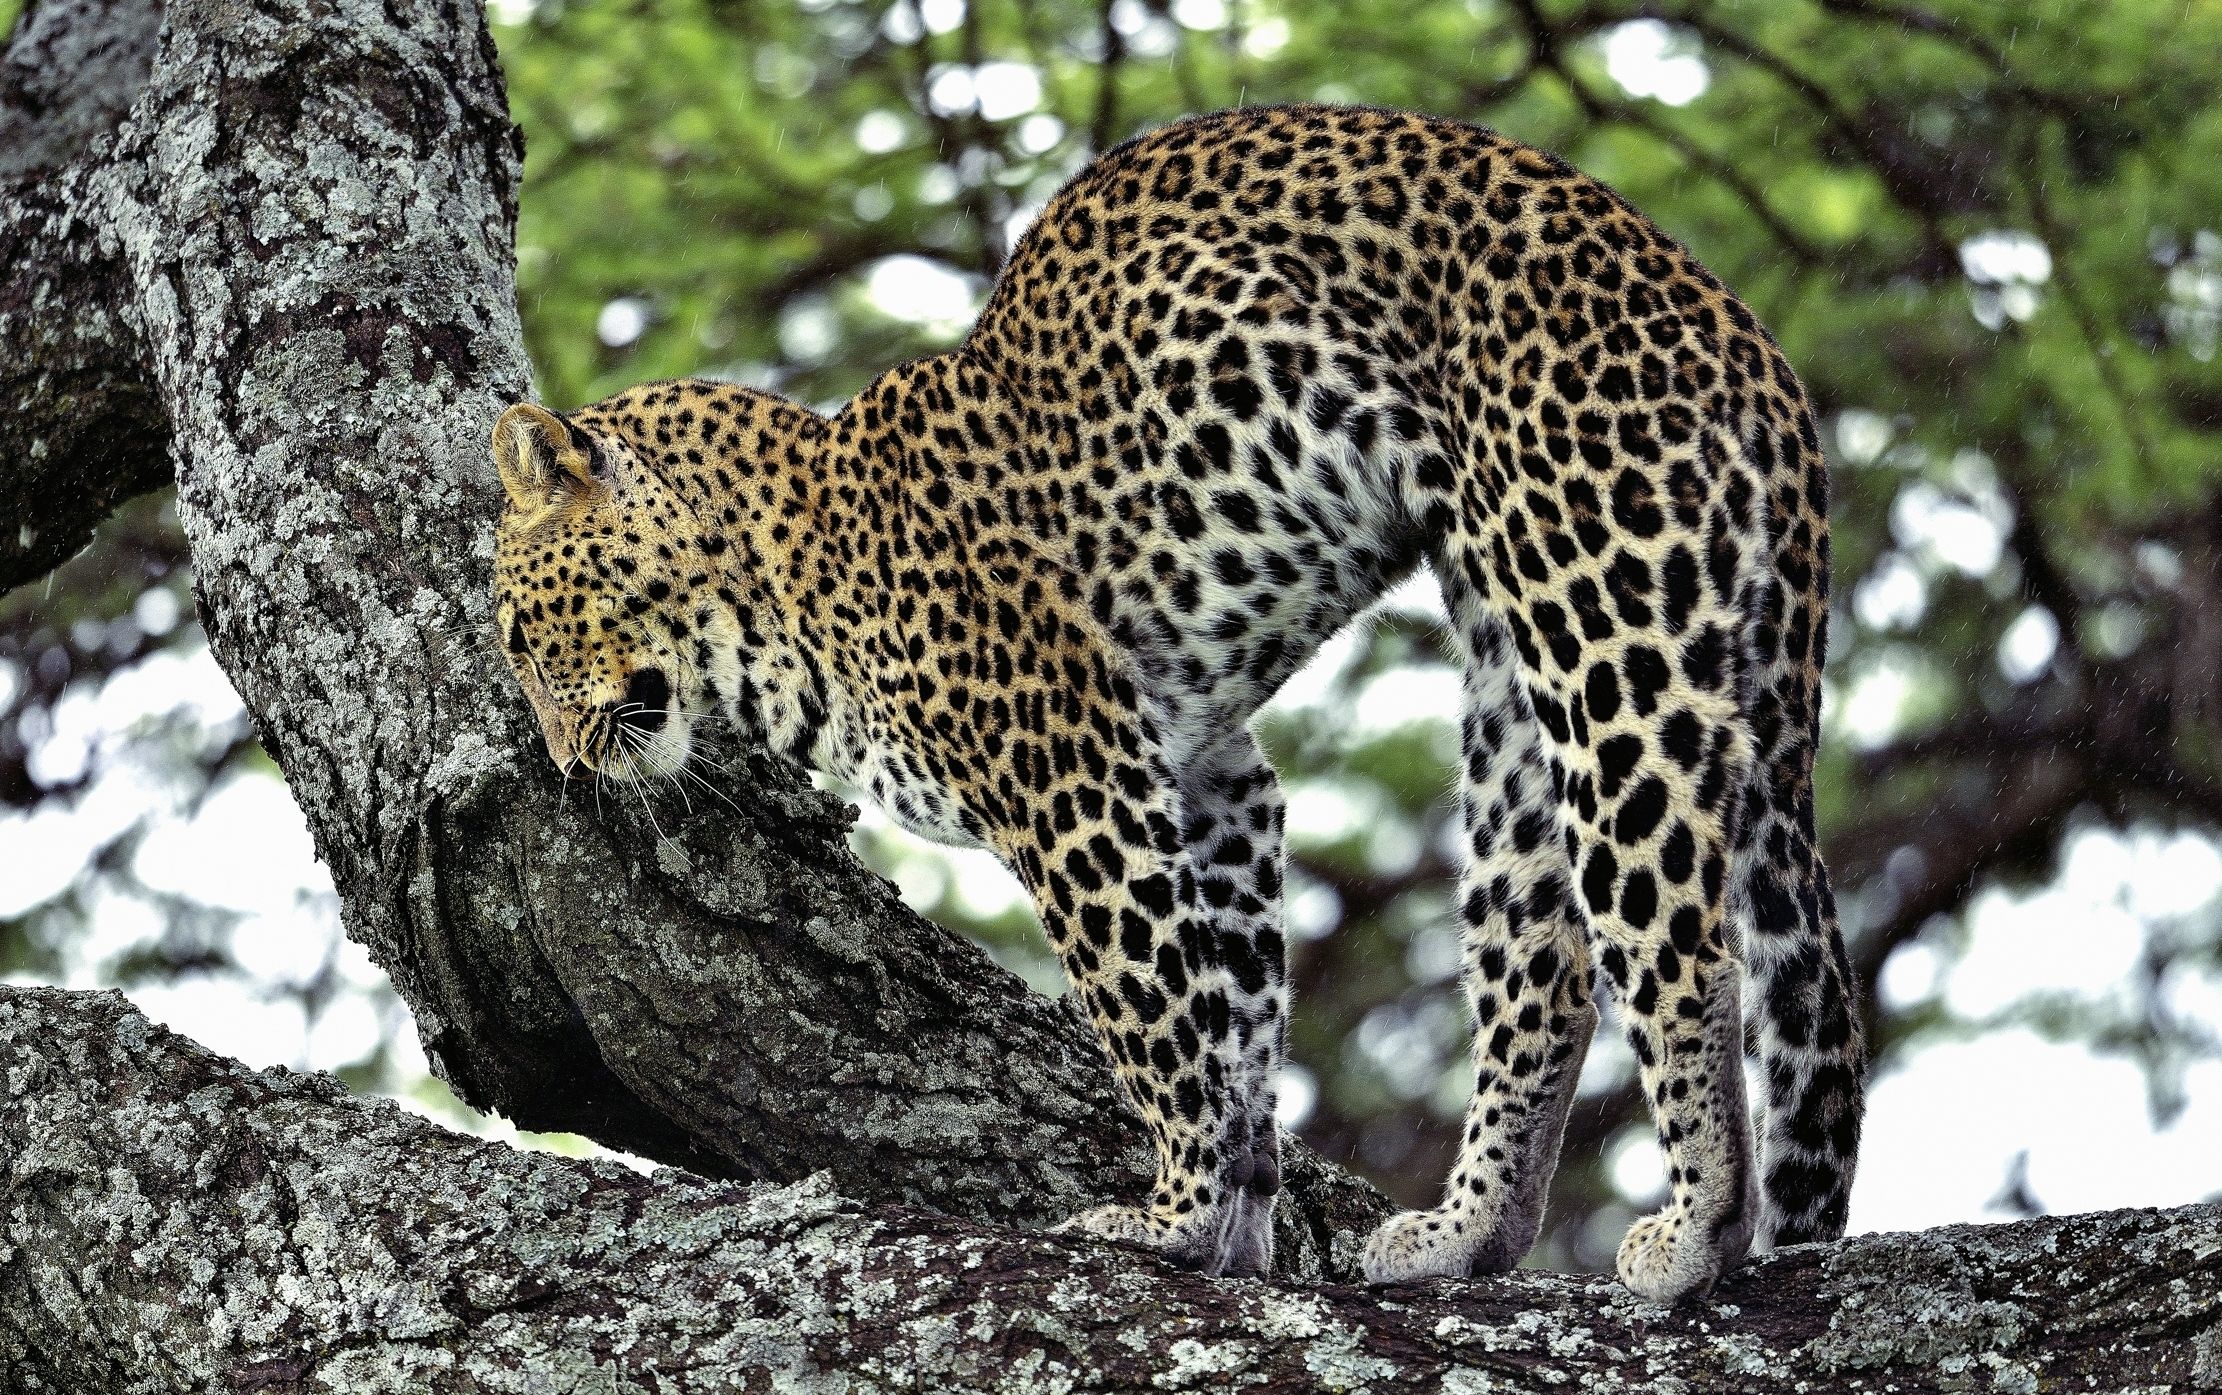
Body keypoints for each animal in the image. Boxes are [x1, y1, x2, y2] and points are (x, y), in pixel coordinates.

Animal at [490, 103, 1865, 1303]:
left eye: (517, 636)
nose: (560, 764)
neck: (767, 594)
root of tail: (1740, 329)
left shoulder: (1073, 781)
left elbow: (1151, 1014)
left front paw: (1168, 1219)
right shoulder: (1212, 780)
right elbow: (1232, 1018)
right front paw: (1234, 1229)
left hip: (1605, 624)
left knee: (1684, 946)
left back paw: (1695, 1229)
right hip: (1508, 693)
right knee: (1554, 962)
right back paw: (1466, 1235)